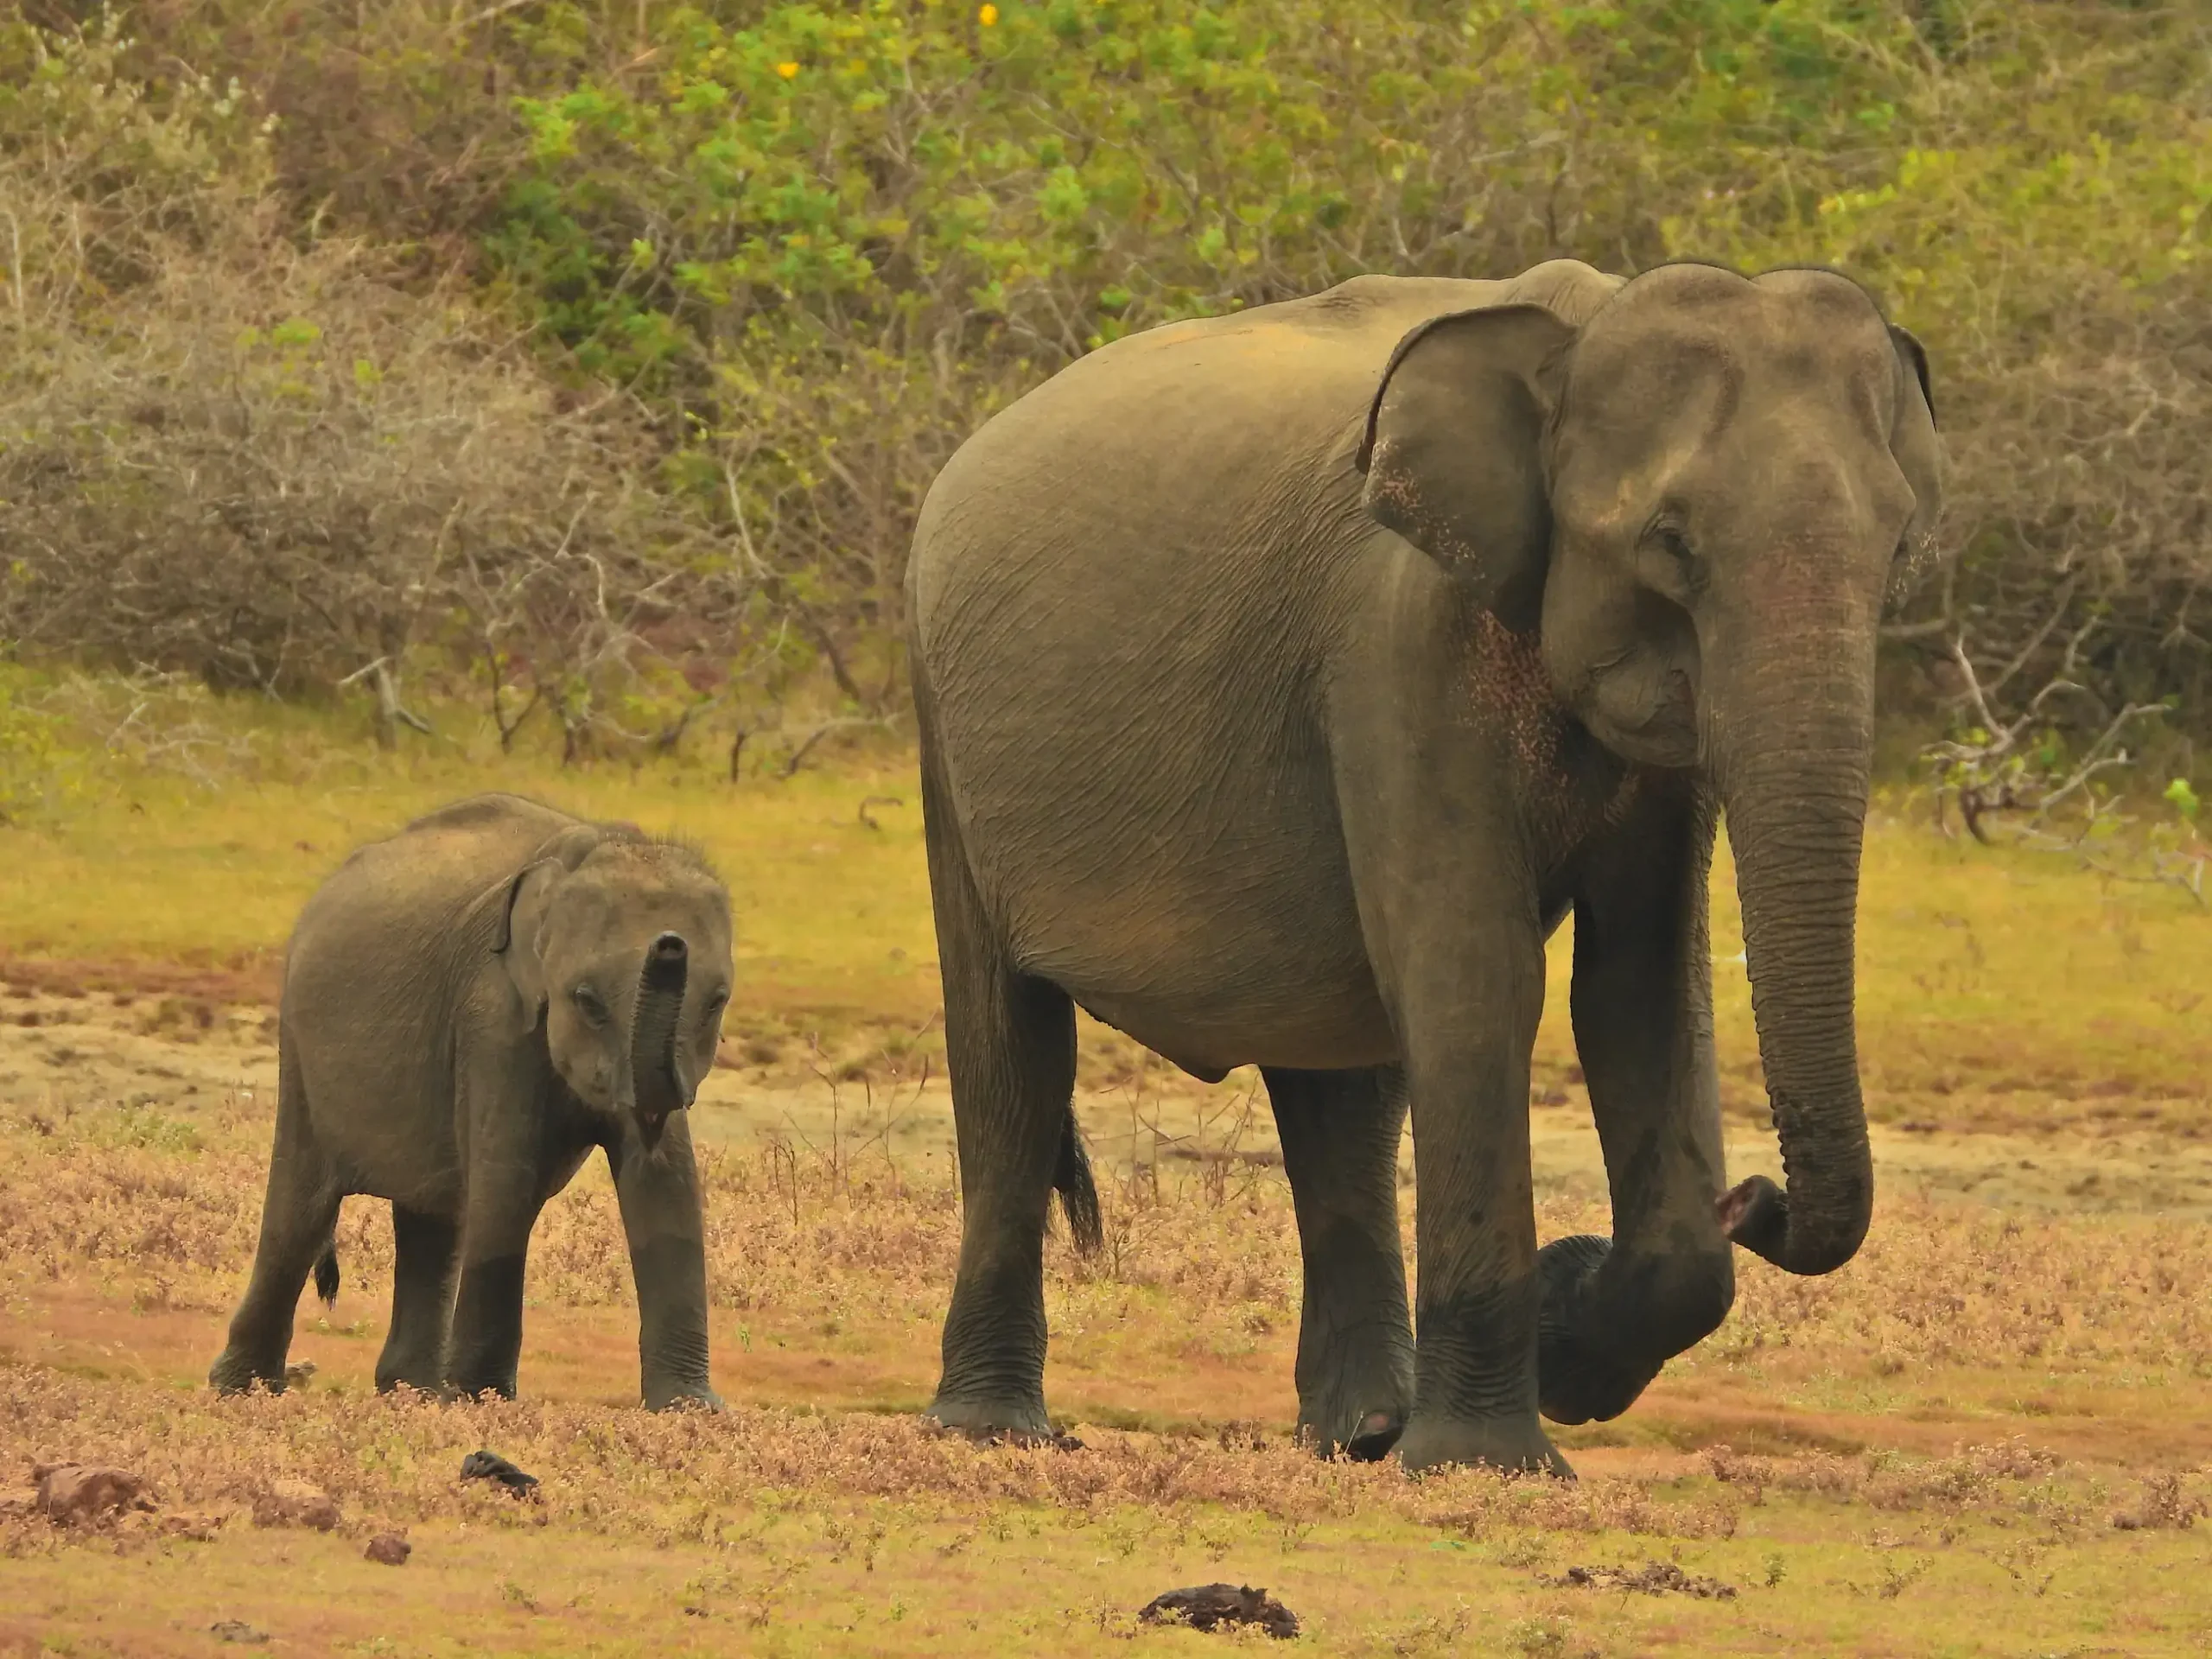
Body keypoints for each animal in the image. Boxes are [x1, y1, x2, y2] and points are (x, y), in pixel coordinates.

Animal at [209, 793, 733, 1410]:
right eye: (586, 1001)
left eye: (717, 1003)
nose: (670, 942)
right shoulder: (492, 1017)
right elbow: (507, 1184)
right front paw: (480, 1400)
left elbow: (669, 1188)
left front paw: (691, 1409)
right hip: (301, 1053)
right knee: (300, 1214)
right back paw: (242, 1389)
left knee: (430, 1221)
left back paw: (410, 1392)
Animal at [904, 257, 1944, 1474]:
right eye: (1670, 542)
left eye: (1898, 548)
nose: (1758, 1199)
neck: (1575, 332)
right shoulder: (1399, 641)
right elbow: (1478, 976)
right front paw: (1492, 1454)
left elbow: (1637, 992)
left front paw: (1564, 1353)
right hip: (943, 725)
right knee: (1011, 1053)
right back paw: (996, 1433)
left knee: (1343, 1084)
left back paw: (1359, 1434)